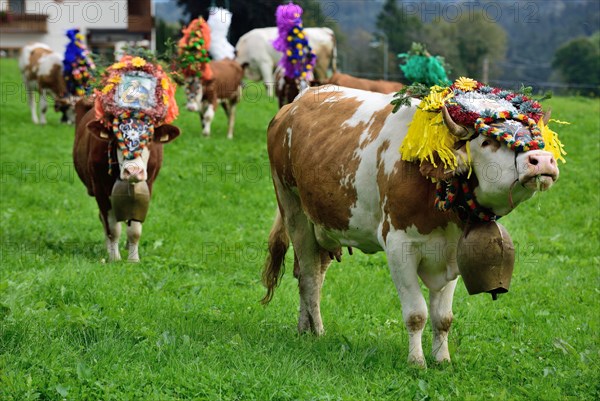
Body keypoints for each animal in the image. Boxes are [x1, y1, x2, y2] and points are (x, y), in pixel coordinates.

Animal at [73, 97, 180, 262]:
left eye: (149, 138)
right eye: (117, 139)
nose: (133, 171)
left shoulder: (147, 186)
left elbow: (134, 229)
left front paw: (134, 259)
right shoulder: (100, 188)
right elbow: (112, 227)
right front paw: (114, 258)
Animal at [260, 85, 560, 366]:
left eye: (535, 134)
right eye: (487, 142)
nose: (542, 160)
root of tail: (294, 104)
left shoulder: (451, 254)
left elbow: (443, 317)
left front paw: (442, 360)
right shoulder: (399, 248)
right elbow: (417, 313)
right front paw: (417, 361)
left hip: (324, 224)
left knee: (309, 273)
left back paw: (305, 328)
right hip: (293, 210)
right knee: (309, 276)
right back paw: (318, 333)